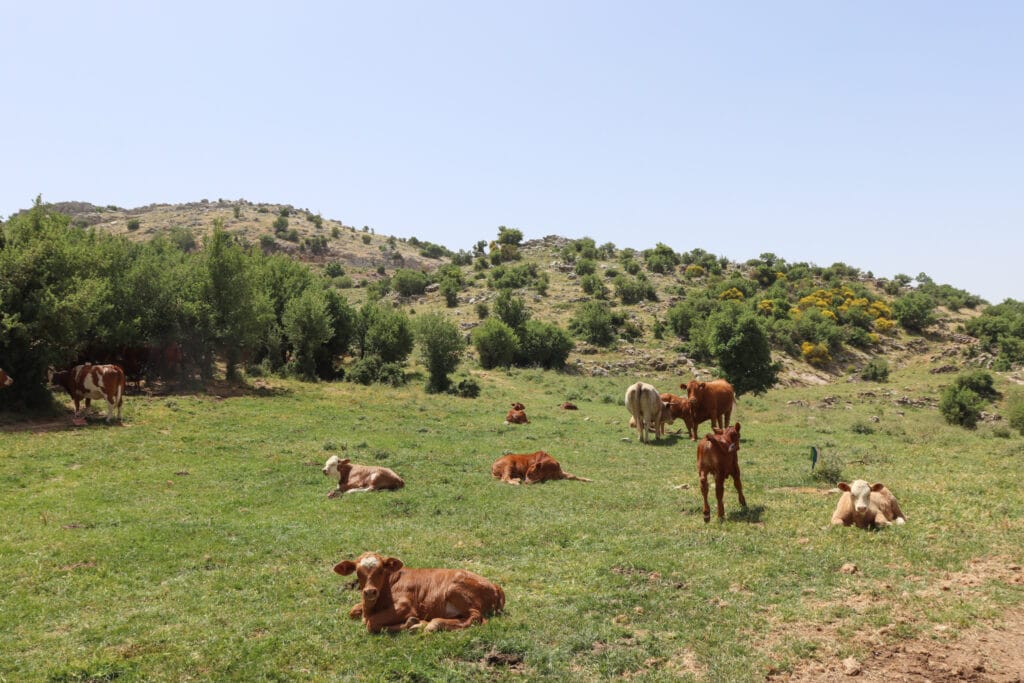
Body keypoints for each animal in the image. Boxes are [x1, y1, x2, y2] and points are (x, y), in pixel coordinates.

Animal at [333, 548, 505, 634]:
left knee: (476, 618)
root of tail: (494, 585)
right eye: (358, 572)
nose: (370, 592)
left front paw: (412, 623)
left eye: (381, 570)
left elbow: (371, 623)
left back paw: (432, 625)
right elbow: (353, 611)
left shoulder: (406, 606)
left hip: (453, 589)